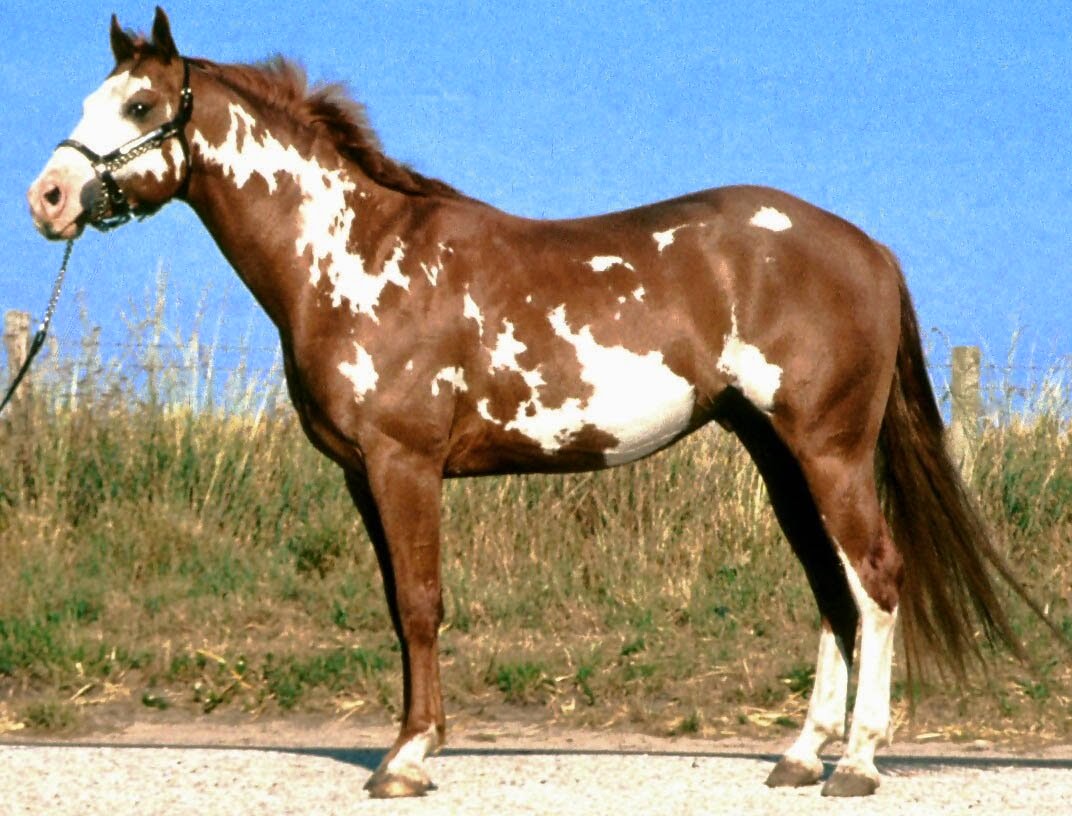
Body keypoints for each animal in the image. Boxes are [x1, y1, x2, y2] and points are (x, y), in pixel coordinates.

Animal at [27, 7, 1039, 799]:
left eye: (140, 107)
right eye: (87, 103)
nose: (48, 198)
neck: (354, 257)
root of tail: (867, 248)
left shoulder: (404, 466)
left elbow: (421, 603)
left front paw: (408, 758)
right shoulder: (364, 477)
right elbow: (397, 603)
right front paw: (412, 744)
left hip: (828, 450)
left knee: (875, 577)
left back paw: (859, 762)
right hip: (778, 457)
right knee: (833, 587)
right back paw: (798, 756)